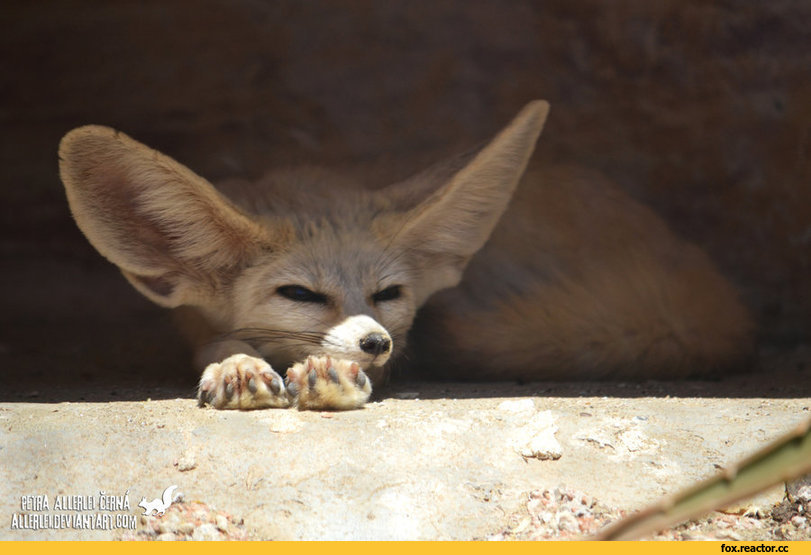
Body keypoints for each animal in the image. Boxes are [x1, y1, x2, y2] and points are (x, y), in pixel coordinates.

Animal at [58, 102, 756, 410]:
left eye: (388, 295)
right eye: (301, 295)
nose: (376, 342)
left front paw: (328, 374)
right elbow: (220, 342)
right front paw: (237, 363)